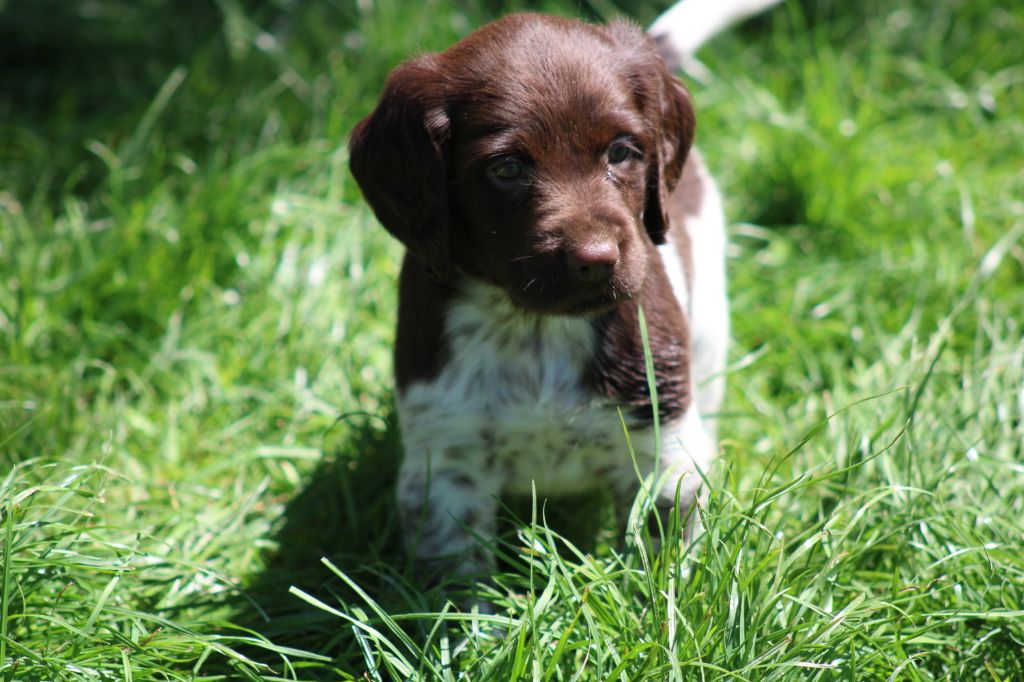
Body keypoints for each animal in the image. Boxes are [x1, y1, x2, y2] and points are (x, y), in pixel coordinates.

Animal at [350, 13, 729, 577]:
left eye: (622, 151)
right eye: (507, 169)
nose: (596, 260)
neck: (534, 327)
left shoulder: (658, 443)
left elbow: (661, 553)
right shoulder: (445, 460)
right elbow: (458, 579)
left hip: (708, 330)